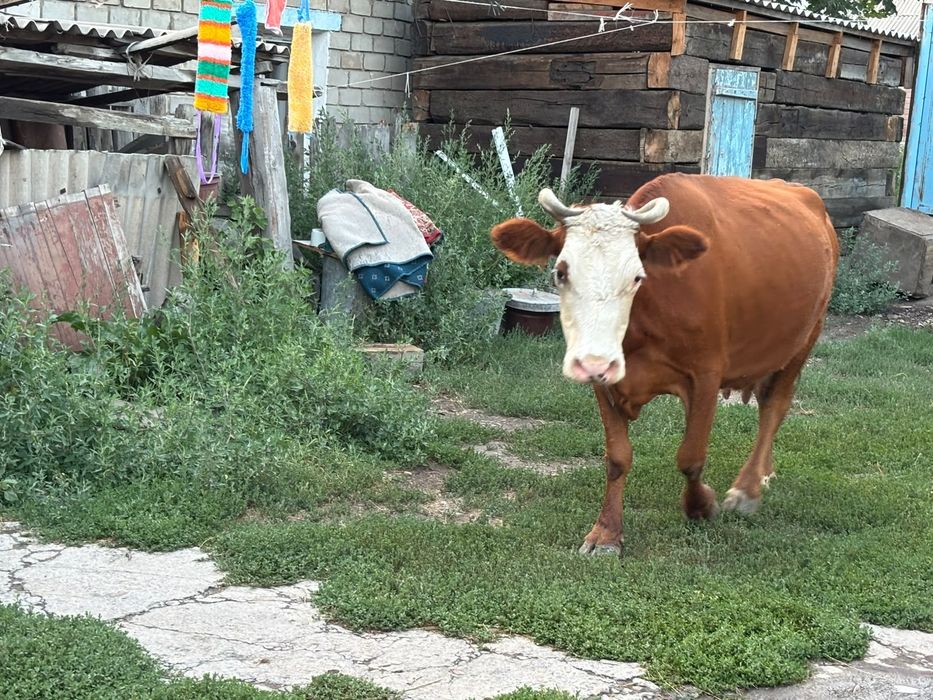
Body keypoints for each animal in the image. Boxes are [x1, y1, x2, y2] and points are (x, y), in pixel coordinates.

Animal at [490, 173, 839, 555]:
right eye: (561, 272)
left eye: (637, 277)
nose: (592, 362)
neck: (644, 318)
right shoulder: (606, 378)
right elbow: (618, 457)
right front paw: (607, 533)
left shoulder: (705, 374)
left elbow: (691, 456)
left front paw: (701, 506)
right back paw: (763, 472)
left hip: (805, 338)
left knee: (774, 407)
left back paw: (747, 489)